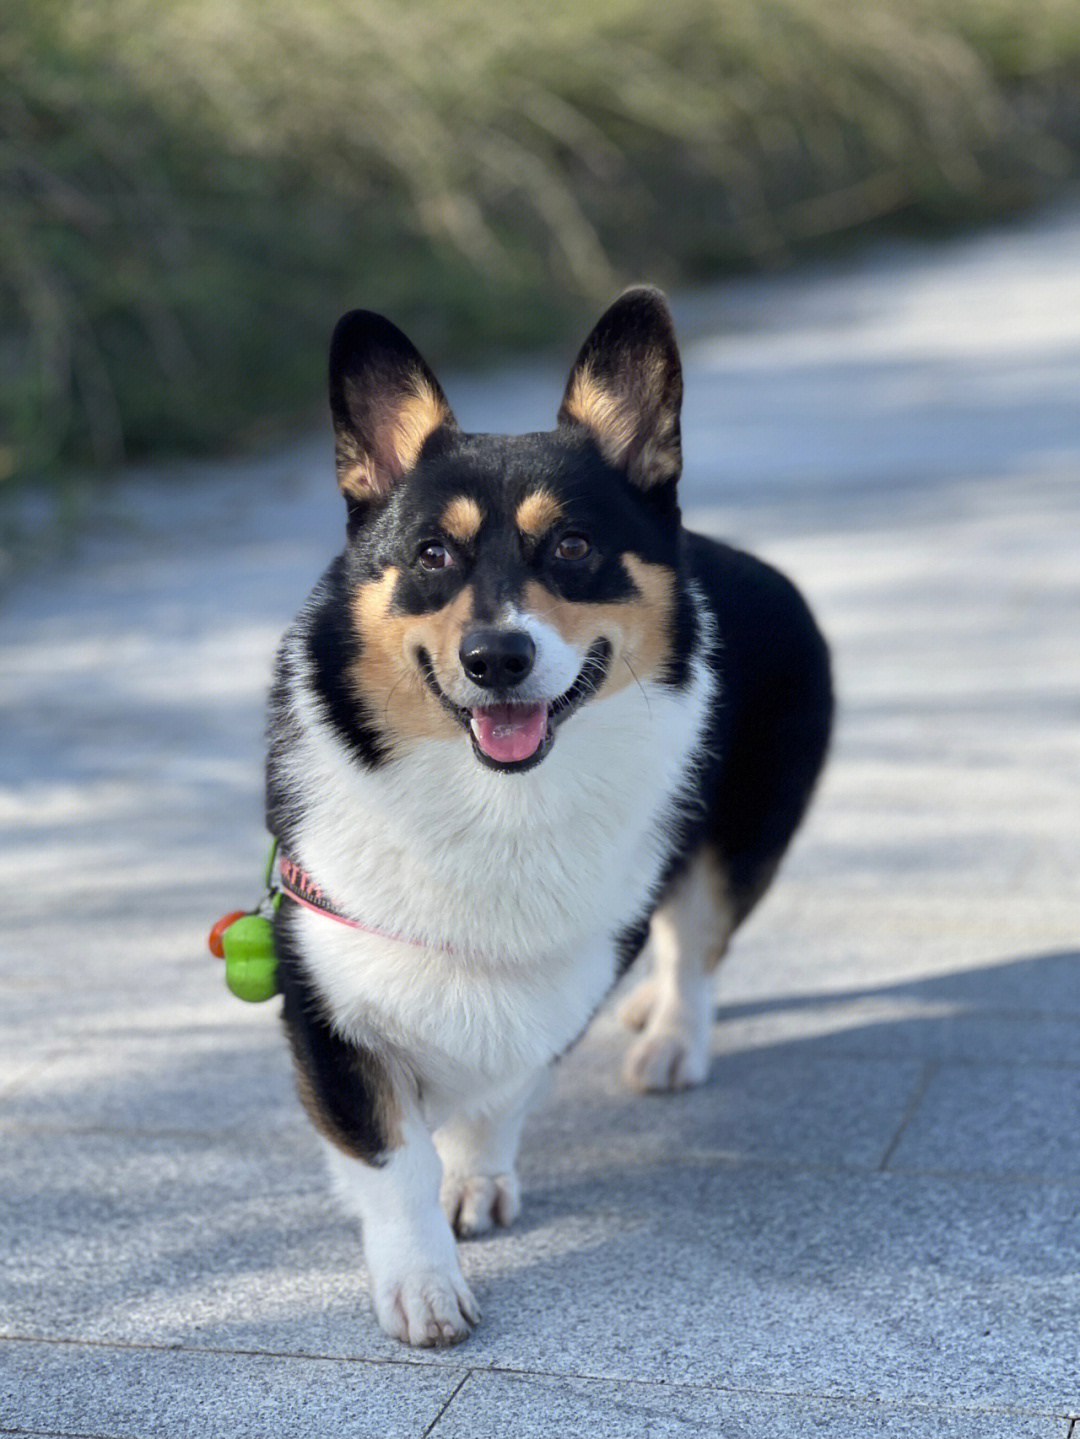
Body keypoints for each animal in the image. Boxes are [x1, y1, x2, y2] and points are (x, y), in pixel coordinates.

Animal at [264, 289, 834, 1346]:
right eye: (433, 555)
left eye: (570, 546)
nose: (497, 657)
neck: (494, 801)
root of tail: (752, 560)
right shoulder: (323, 991)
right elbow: (391, 1158)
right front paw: (422, 1283)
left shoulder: (564, 972)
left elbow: (503, 1090)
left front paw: (474, 1178)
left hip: (738, 843)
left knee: (698, 940)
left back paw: (669, 1036)